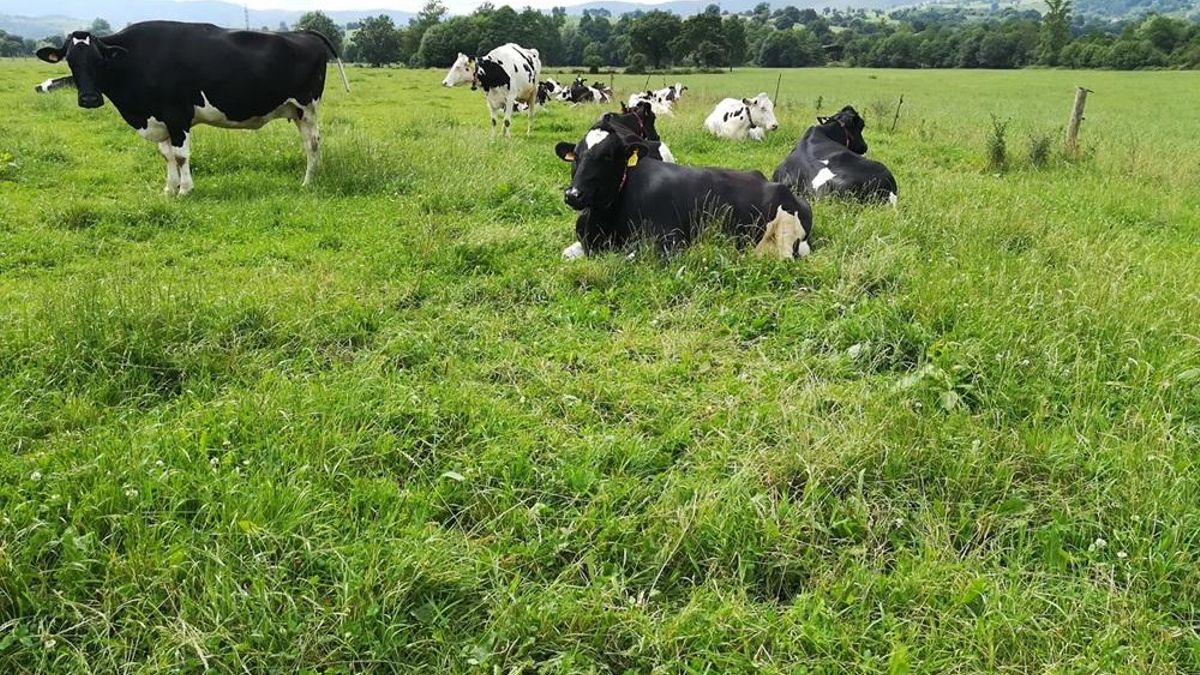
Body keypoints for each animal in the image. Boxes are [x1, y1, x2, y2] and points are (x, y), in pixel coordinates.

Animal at [35, 22, 349, 196]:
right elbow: (166, 155)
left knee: (312, 143)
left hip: (307, 107)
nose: (89, 99)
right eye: (71, 60)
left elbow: (181, 155)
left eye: (99, 60)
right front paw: (169, 188)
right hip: (295, 111)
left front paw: (185, 190)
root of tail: (303, 33)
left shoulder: (177, 115)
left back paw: (308, 182)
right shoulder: (159, 118)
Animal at [554, 130, 812, 260]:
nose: (573, 194)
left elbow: (630, 256)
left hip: (784, 236)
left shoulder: (671, 242)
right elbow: (566, 254)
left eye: (607, 156)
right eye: (575, 156)